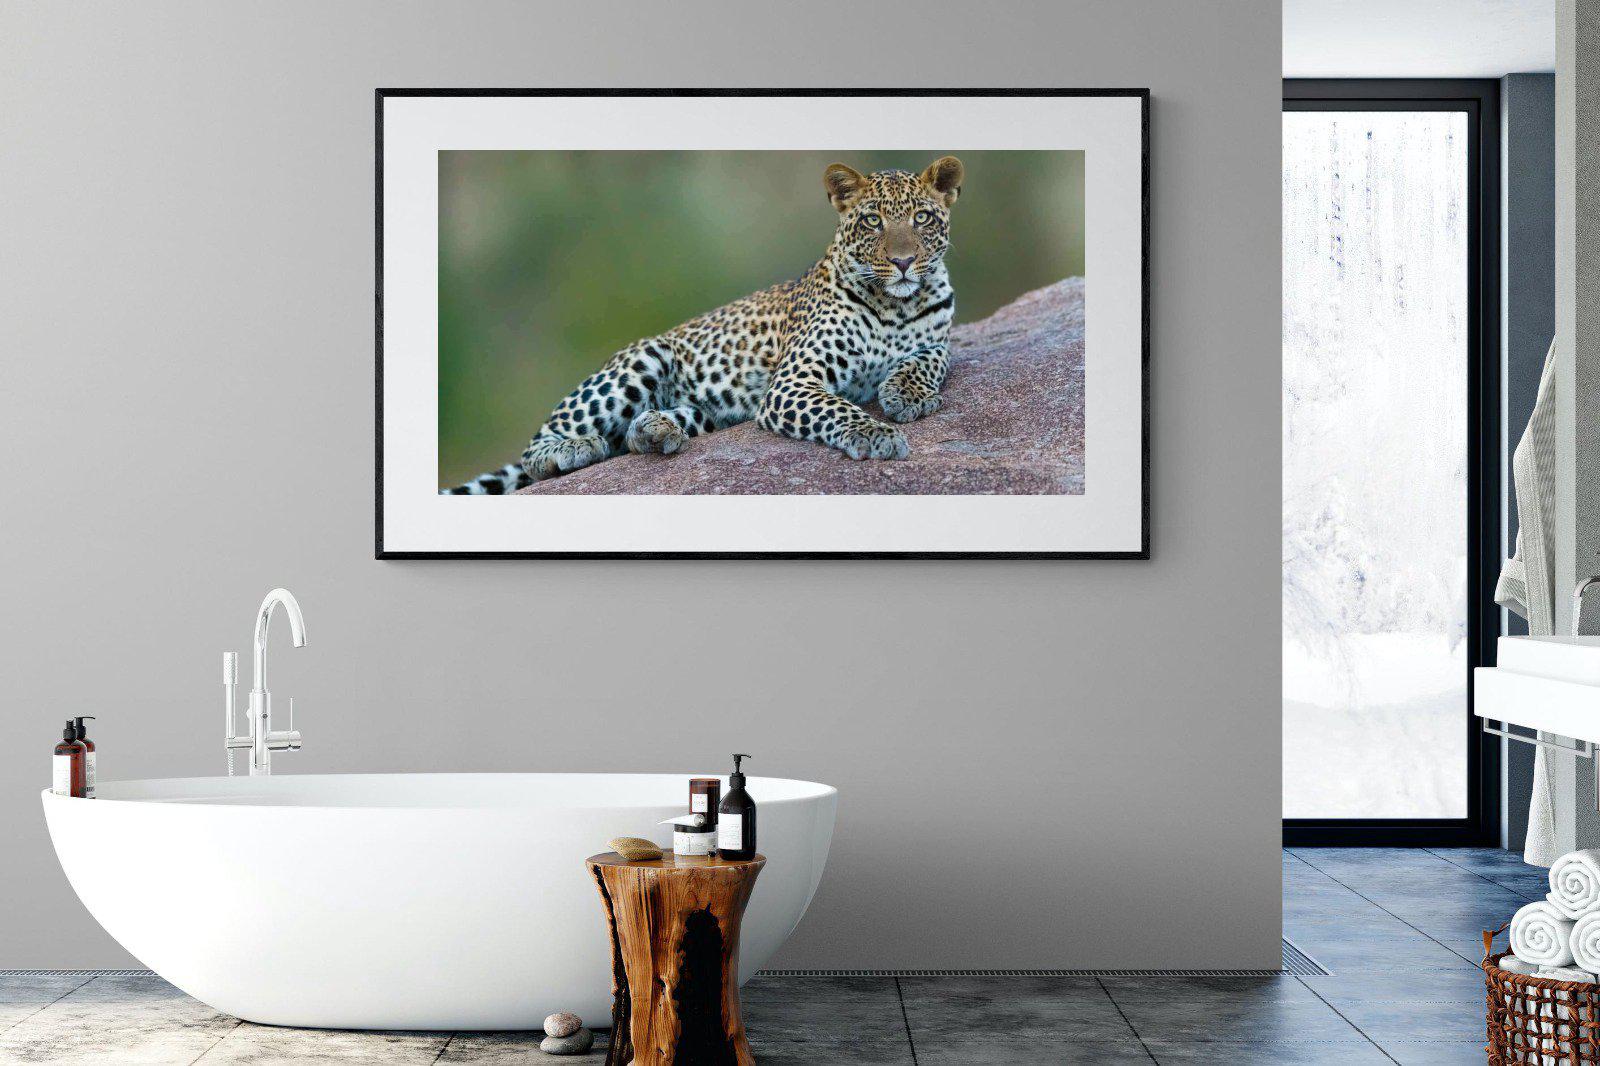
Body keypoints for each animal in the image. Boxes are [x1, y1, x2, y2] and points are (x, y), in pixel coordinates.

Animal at [442, 155, 964, 494]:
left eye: (922, 218)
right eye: (873, 222)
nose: (903, 262)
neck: (895, 306)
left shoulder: (940, 337)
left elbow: (930, 359)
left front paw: (906, 394)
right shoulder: (793, 383)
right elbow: (838, 408)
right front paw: (877, 434)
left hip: (709, 411)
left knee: (633, 436)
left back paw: (655, 430)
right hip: (642, 358)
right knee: (538, 448)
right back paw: (574, 449)